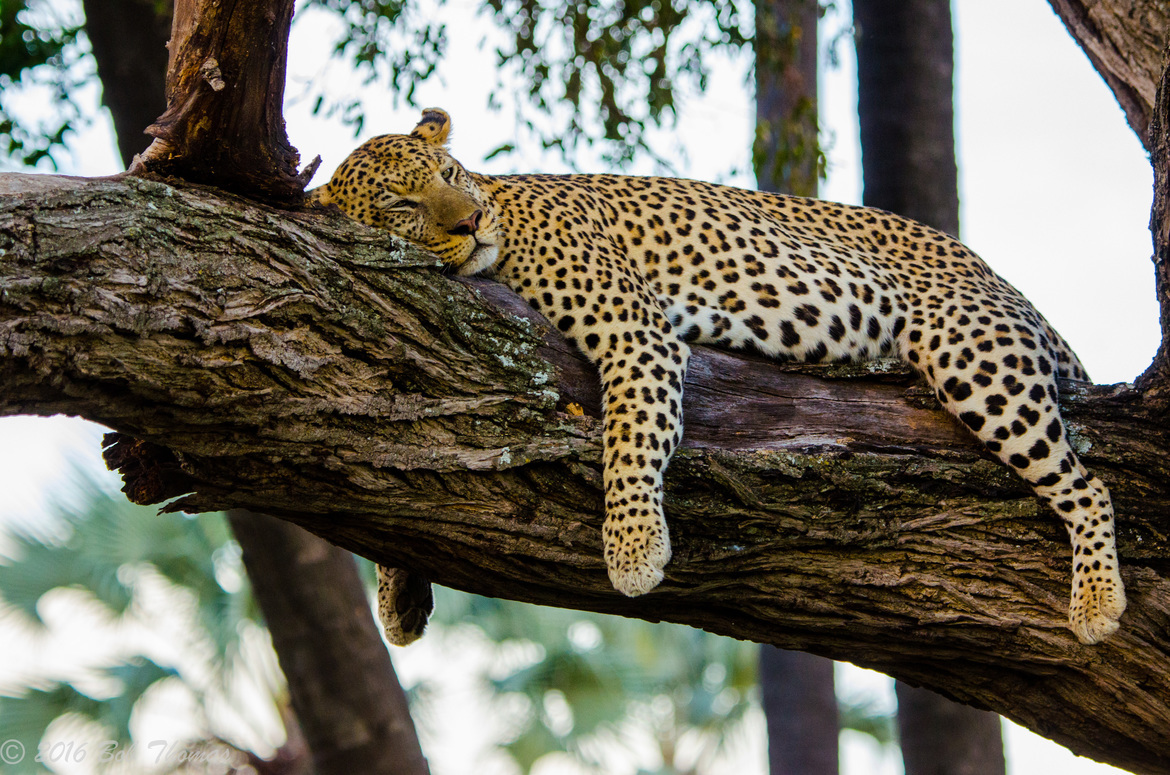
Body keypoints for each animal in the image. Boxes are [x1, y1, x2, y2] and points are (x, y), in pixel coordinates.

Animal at [311, 107, 1127, 647]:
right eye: (403, 204)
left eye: (450, 175)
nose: (471, 221)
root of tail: (994, 273)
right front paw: (398, 590)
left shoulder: (636, 331)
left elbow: (631, 438)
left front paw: (633, 548)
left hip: (969, 350)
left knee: (1088, 484)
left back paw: (1096, 600)